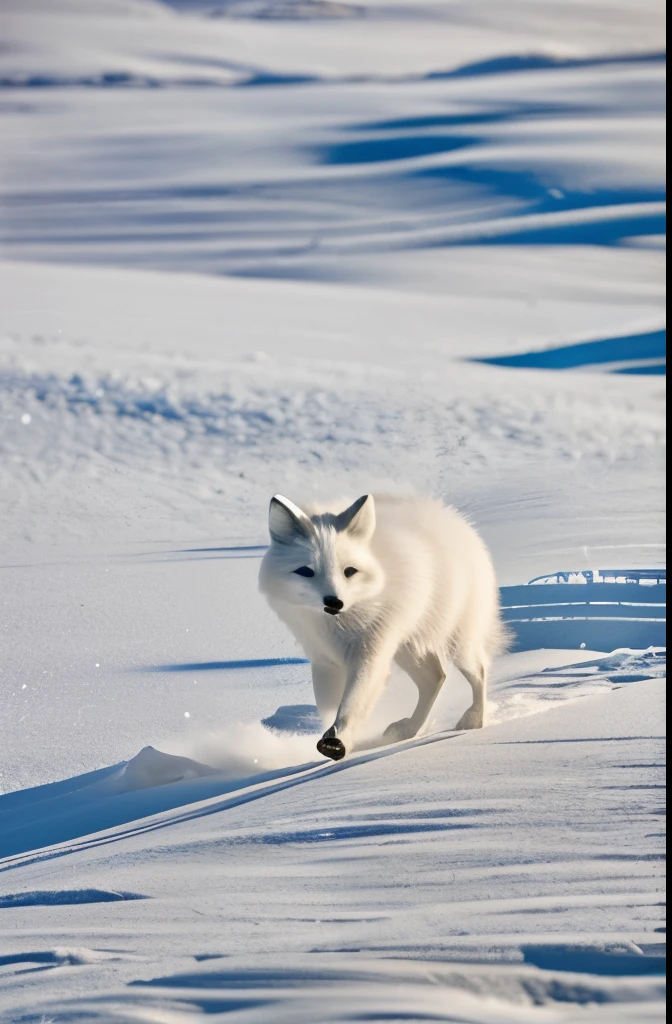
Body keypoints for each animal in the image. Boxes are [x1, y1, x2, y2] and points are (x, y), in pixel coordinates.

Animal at [260, 495, 506, 761]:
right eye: (306, 571)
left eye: (349, 571)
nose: (334, 602)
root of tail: (457, 520)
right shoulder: (324, 659)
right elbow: (328, 707)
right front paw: (333, 740)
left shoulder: (370, 651)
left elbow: (352, 701)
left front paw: (338, 741)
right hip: (407, 649)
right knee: (436, 678)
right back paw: (409, 730)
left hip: (457, 644)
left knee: (479, 670)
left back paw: (475, 720)